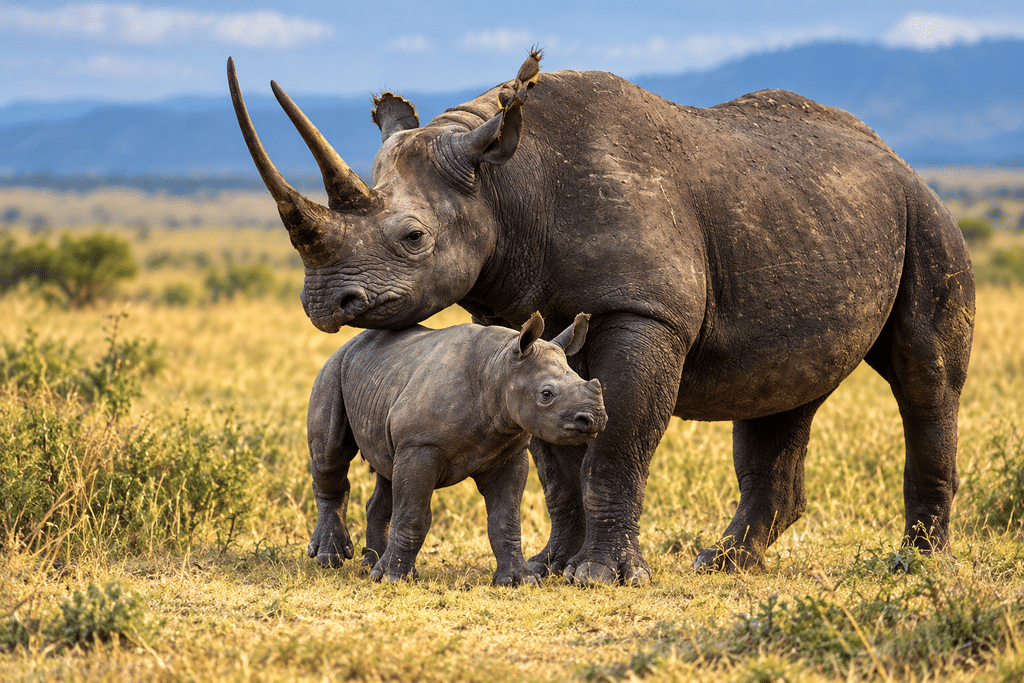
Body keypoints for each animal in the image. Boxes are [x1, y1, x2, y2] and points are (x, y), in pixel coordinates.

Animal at [305, 311, 605, 585]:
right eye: (546, 394)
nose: (594, 419)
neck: (499, 368)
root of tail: (349, 343)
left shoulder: (509, 451)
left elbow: (505, 519)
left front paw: (519, 579)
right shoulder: (420, 444)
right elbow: (413, 514)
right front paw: (393, 578)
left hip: (382, 379)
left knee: (386, 469)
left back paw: (371, 565)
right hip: (333, 369)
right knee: (331, 454)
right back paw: (330, 559)